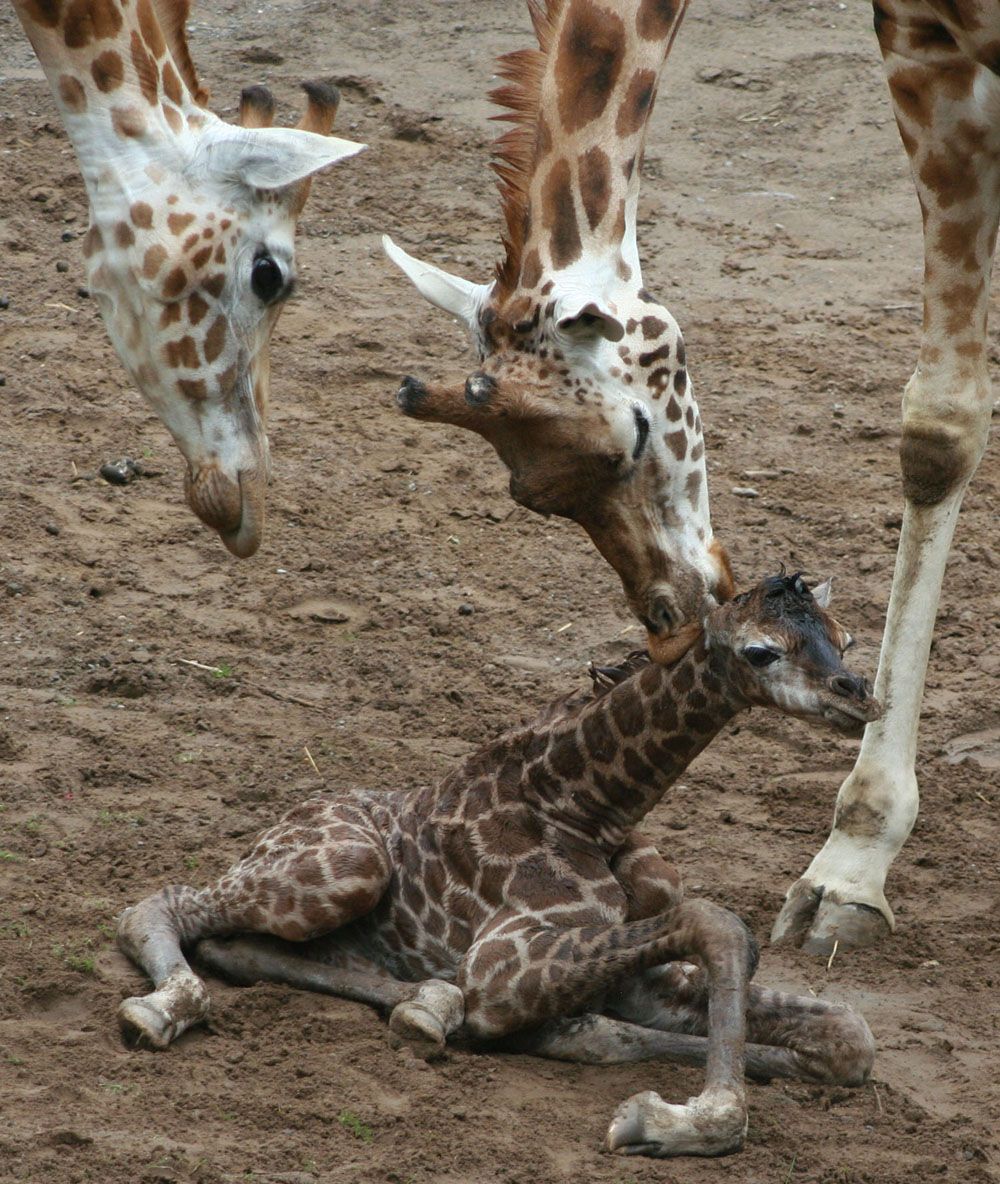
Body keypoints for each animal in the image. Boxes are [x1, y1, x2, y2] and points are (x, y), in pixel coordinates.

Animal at [115, 572, 879, 1159]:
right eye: (760, 651)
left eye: (843, 637)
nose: (860, 695)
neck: (589, 808)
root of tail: (279, 821)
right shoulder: (501, 965)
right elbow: (717, 927)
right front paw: (681, 1119)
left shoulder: (642, 979)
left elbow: (849, 1035)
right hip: (350, 863)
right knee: (156, 906)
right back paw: (164, 1009)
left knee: (236, 945)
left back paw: (430, 1003)